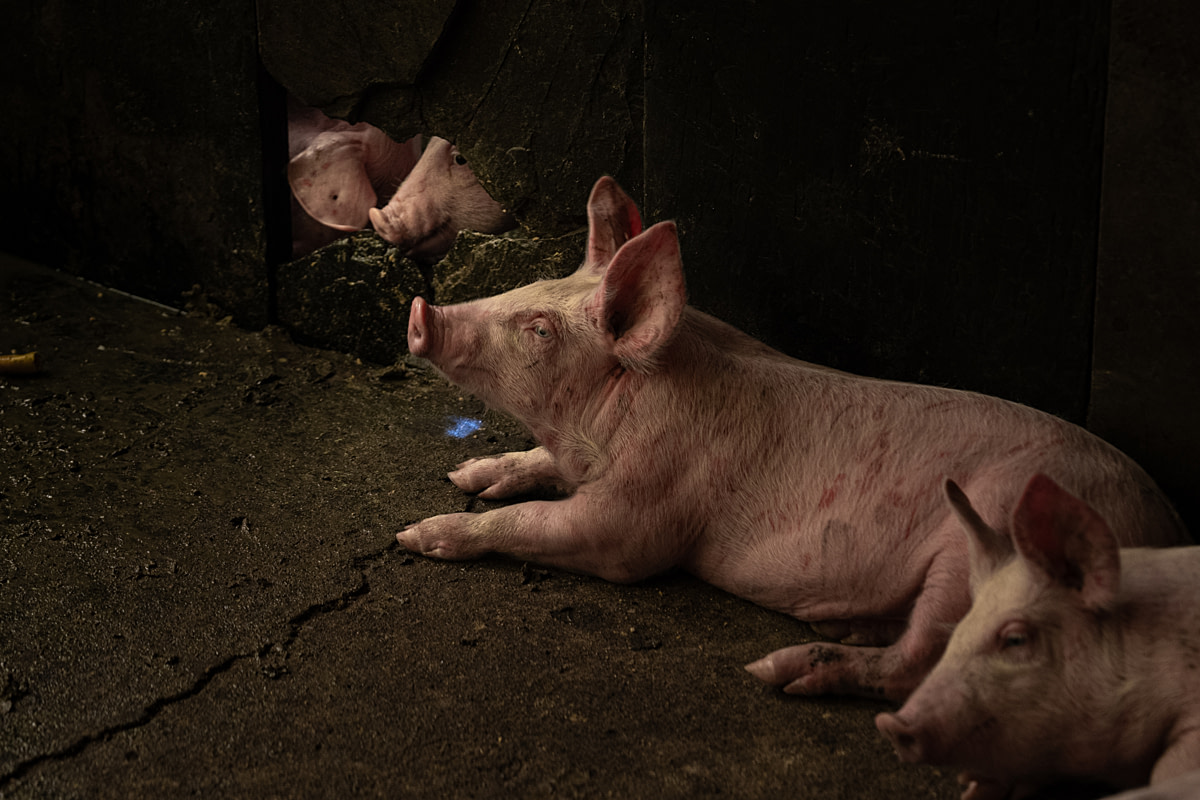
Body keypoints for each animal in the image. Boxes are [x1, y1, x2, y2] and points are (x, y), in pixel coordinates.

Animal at [396, 176, 1189, 701]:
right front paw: (466, 475)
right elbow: (527, 468)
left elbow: (545, 525)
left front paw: (417, 534)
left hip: (983, 540)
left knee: (918, 664)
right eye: (531, 288)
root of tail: (1163, 530)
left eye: (539, 331)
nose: (421, 311)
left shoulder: (641, 517)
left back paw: (782, 671)